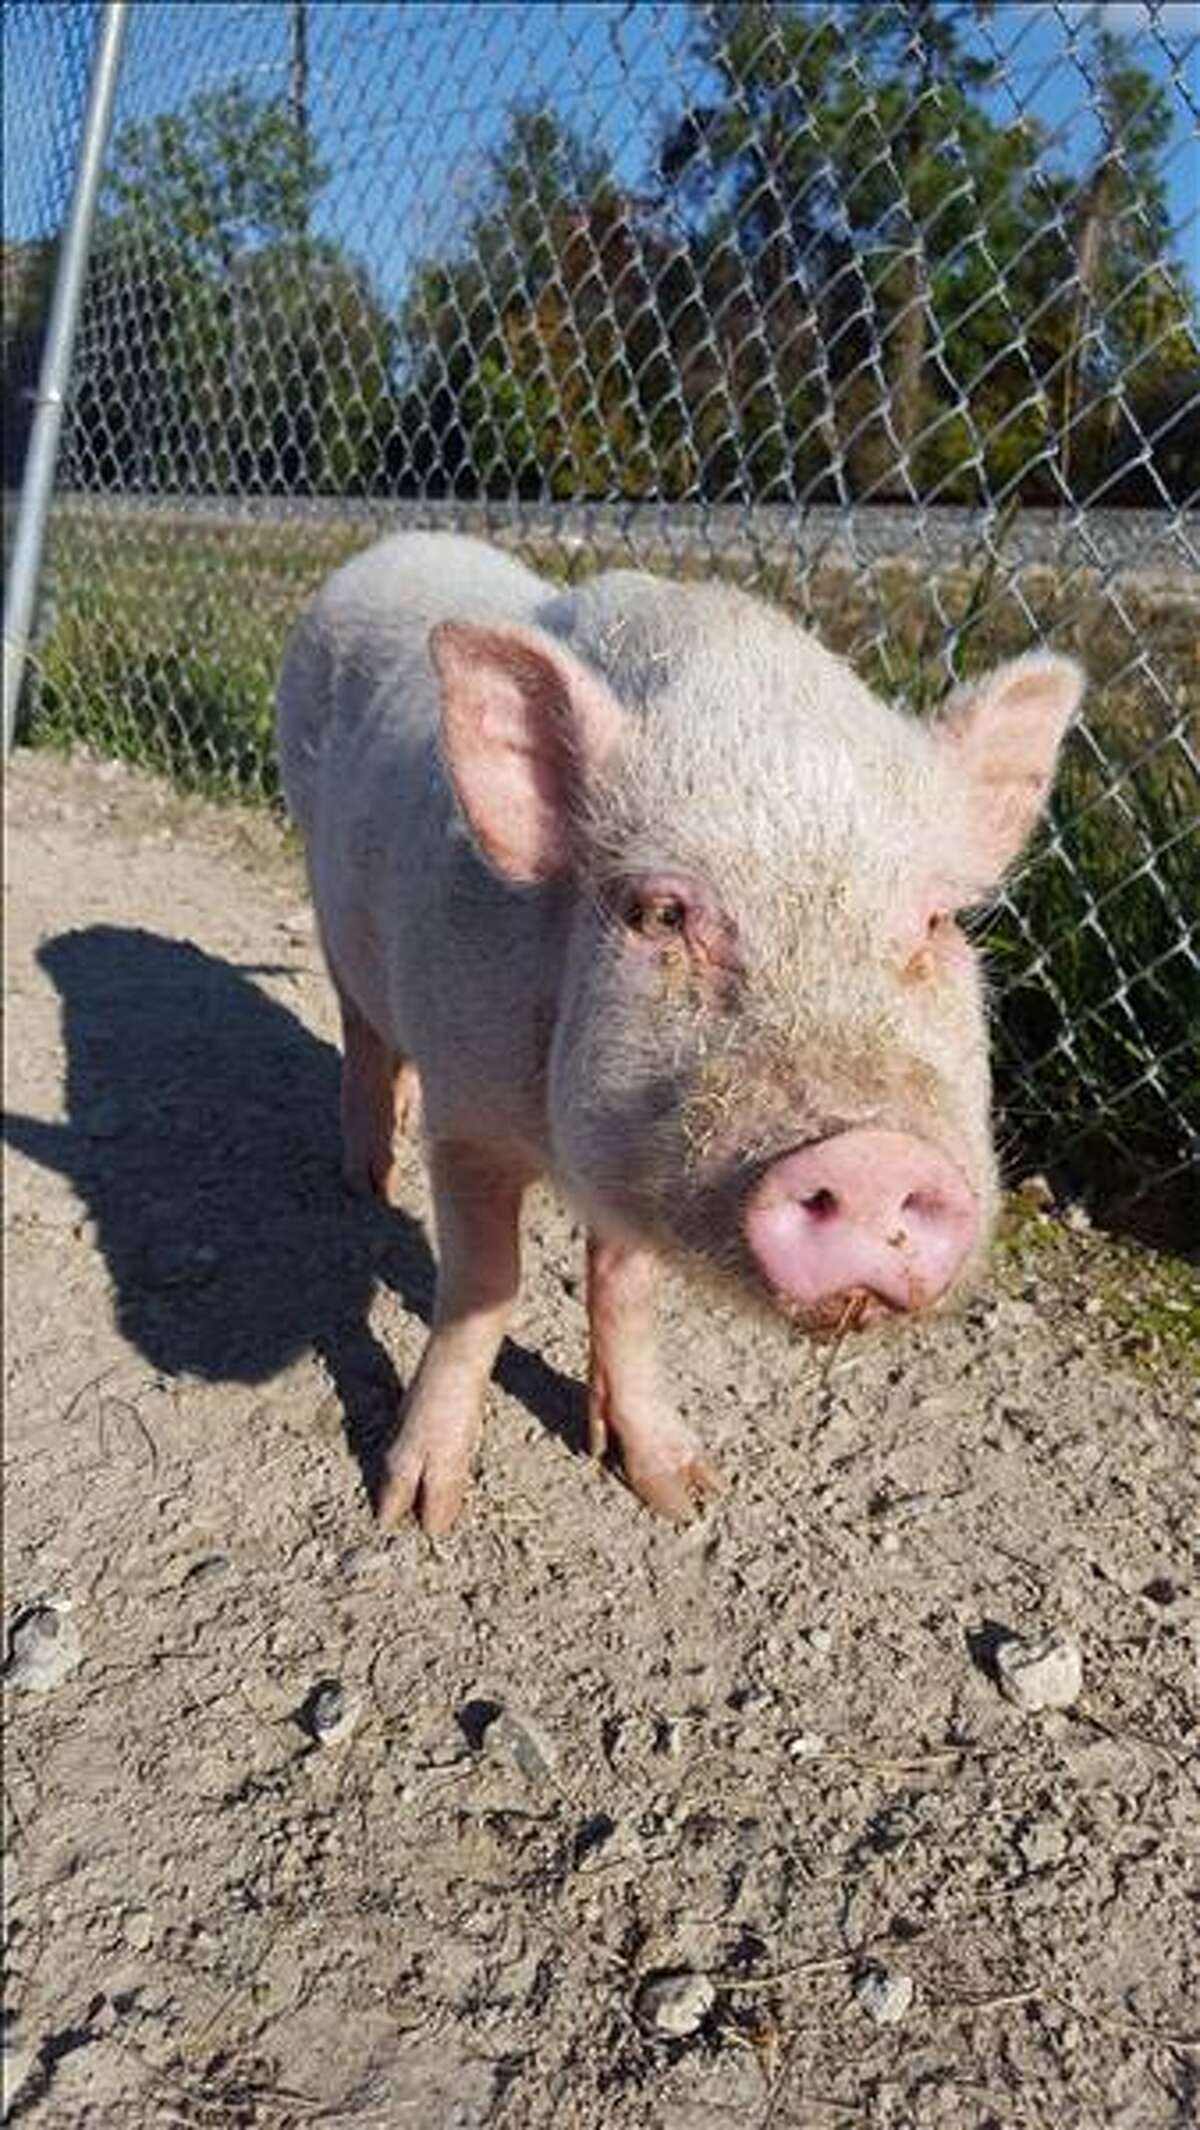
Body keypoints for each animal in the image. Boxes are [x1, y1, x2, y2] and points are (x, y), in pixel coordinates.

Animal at [276, 533, 1081, 1533]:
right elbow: (483, 1287)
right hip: (323, 889)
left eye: (935, 922)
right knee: (361, 1028)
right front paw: (416, 1510)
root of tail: (390, 545)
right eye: (664, 912)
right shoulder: (468, 1121)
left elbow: (624, 1294)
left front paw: (678, 1489)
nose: (874, 1160)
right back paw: (365, 1180)